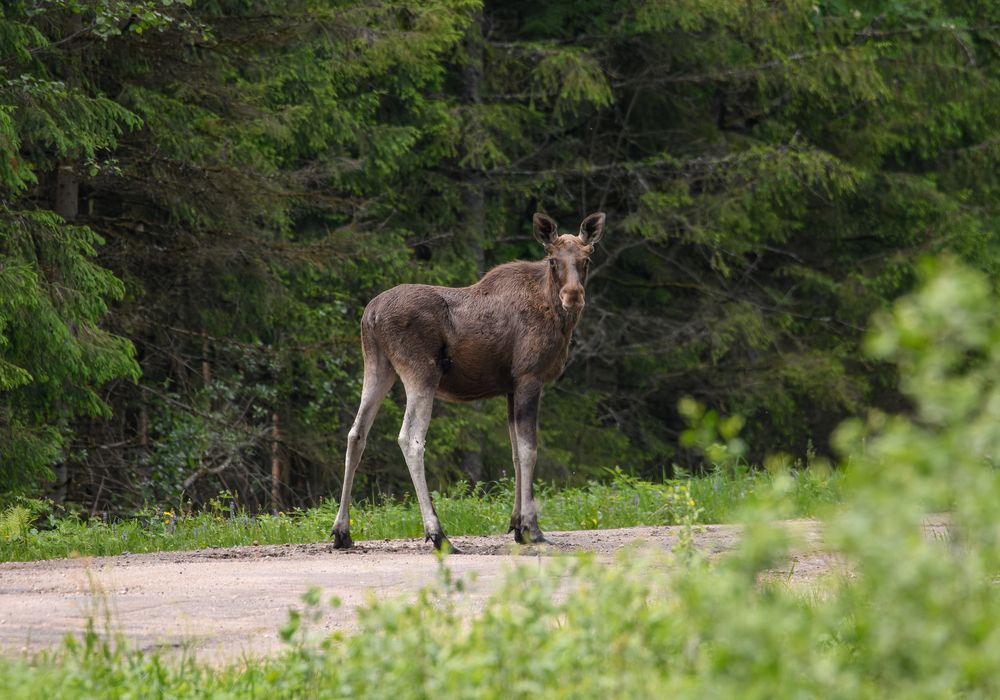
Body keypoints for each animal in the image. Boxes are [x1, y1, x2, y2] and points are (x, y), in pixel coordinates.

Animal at [331, 211, 607, 552]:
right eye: (553, 260)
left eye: (586, 258)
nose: (573, 296)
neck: (558, 320)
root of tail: (369, 315)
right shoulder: (530, 377)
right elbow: (529, 450)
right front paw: (532, 529)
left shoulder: (510, 387)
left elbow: (515, 453)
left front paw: (516, 525)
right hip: (421, 372)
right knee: (410, 439)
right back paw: (438, 533)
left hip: (378, 366)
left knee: (356, 434)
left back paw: (342, 532)